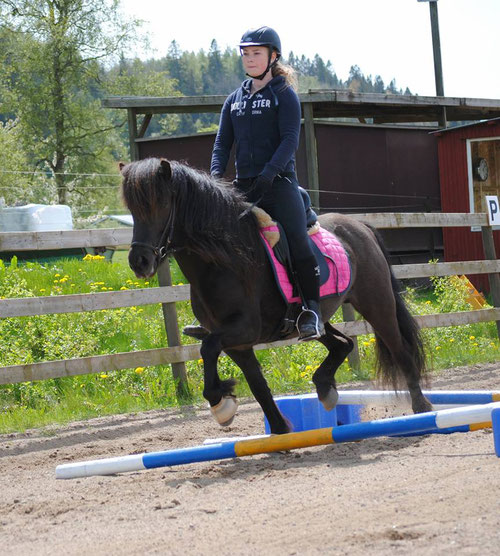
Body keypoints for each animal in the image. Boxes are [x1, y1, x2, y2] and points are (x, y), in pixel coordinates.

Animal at [121, 157, 434, 434]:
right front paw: (279, 429)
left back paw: (422, 408)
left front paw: (221, 403)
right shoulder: (238, 344)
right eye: (132, 209)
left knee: (400, 351)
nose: (140, 261)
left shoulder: (244, 330)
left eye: (160, 204)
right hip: (316, 318)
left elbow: (208, 348)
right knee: (343, 344)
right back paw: (325, 388)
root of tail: (360, 226)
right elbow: (257, 385)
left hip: (376, 304)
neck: (224, 260)